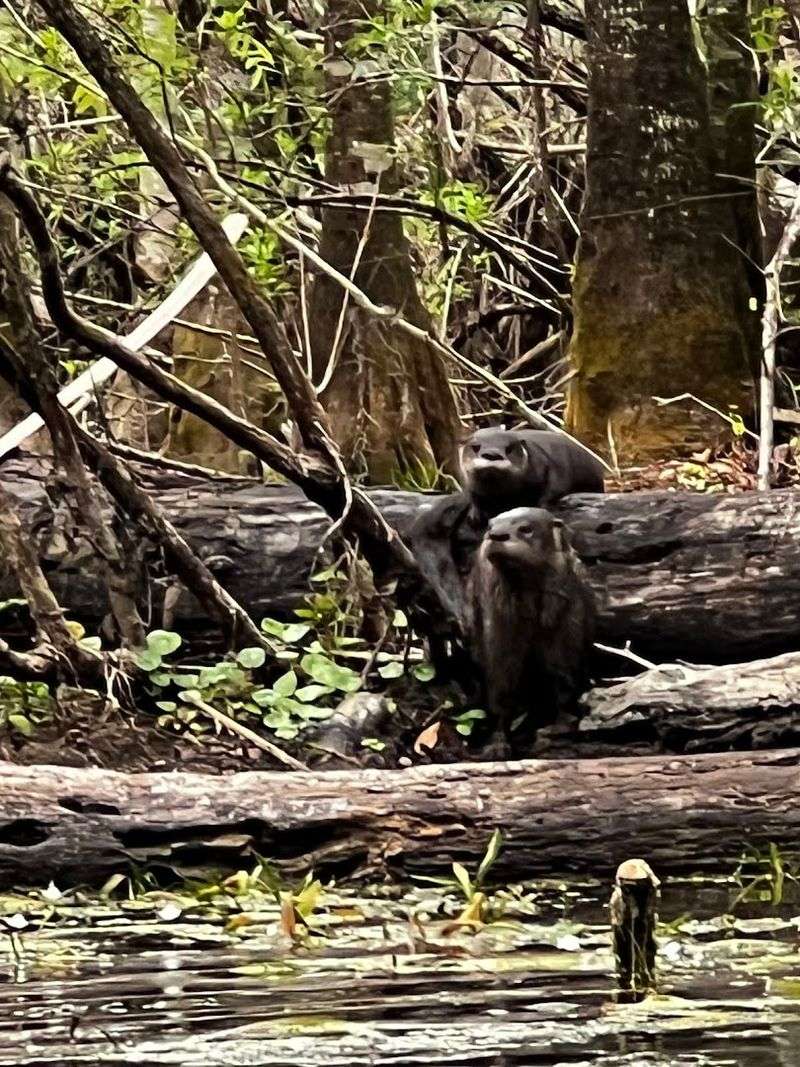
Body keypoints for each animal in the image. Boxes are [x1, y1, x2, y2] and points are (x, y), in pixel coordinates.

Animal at [410, 426, 604, 628]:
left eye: (509, 448)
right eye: (476, 446)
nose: (492, 454)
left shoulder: (552, 467)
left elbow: (553, 489)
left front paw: (542, 507)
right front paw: (475, 513)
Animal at [467, 507, 595, 749]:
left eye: (525, 529)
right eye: (489, 525)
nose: (496, 535)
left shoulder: (567, 628)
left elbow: (563, 678)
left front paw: (560, 727)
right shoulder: (498, 633)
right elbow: (501, 689)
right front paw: (497, 743)